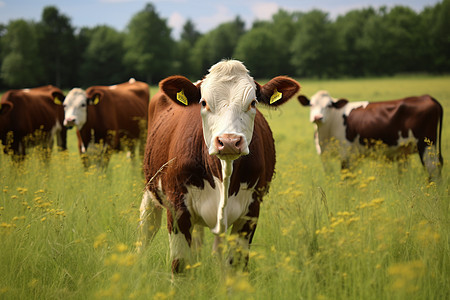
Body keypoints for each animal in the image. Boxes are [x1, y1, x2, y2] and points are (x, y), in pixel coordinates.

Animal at [137, 59, 298, 274]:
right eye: (204, 102)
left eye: (253, 103)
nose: (229, 141)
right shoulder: (178, 207)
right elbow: (180, 265)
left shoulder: (250, 213)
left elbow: (235, 265)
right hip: (150, 188)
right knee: (147, 229)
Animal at [298, 91, 442, 180]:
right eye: (311, 104)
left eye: (329, 105)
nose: (317, 117)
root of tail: (426, 97)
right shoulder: (325, 156)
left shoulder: (346, 154)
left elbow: (346, 179)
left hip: (426, 145)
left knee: (433, 168)